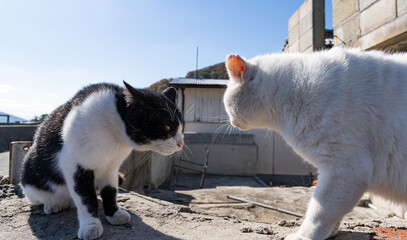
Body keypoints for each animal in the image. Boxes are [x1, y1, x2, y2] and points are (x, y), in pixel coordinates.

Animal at [20, 81, 183, 239]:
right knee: (42, 198)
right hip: (29, 176)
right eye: (167, 127)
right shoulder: (75, 166)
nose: (181, 143)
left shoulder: (111, 168)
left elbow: (110, 191)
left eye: (182, 127)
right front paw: (90, 225)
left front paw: (114, 214)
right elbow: (86, 198)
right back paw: (51, 206)